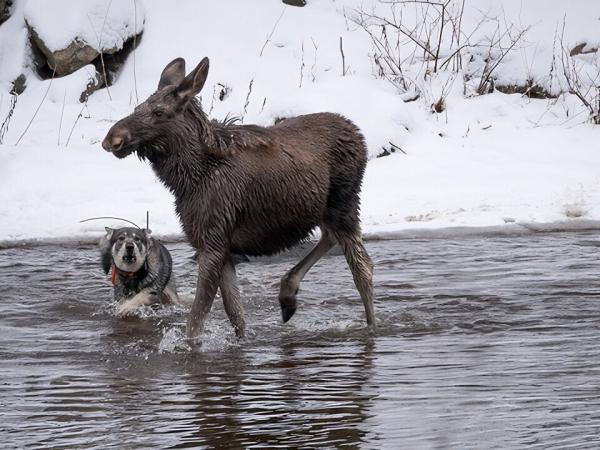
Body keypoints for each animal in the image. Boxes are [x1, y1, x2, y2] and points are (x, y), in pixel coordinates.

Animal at [103, 56, 376, 344]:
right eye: (138, 107)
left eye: (159, 113)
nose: (112, 138)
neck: (186, 179)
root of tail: (358, 134)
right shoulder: (220, 246)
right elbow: (235, 312)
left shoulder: (212, 243)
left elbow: (196, 322)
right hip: (324, 210)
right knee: (329, 237)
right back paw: (288, 295)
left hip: (344, 202)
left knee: (362, 267)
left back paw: (371, 326)